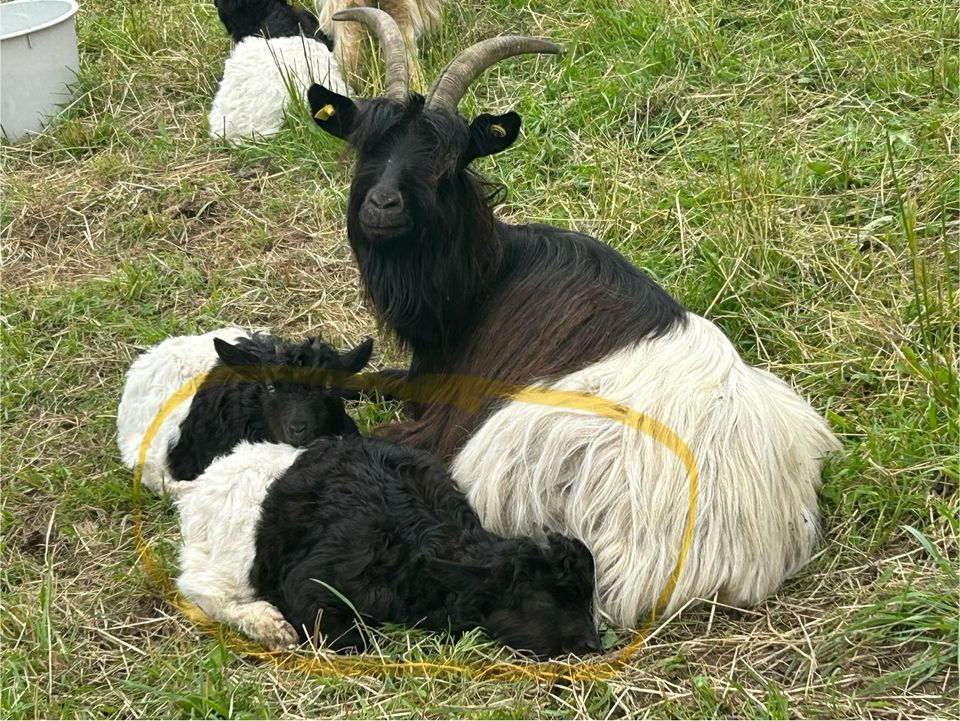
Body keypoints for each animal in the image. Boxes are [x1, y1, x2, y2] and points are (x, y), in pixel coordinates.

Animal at [169, 434, 596, 660]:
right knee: (203, 586)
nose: (592, 643)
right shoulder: (314, 579)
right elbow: (343, 635)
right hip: (234, 551)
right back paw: (271, 627)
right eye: (543, 600)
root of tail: (201, 485)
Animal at [302, 9, 840, 632]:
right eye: (365, 145)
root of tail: (726, 560)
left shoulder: (443, 411)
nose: (383, 206)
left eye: (450, 161)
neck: (487, 282)